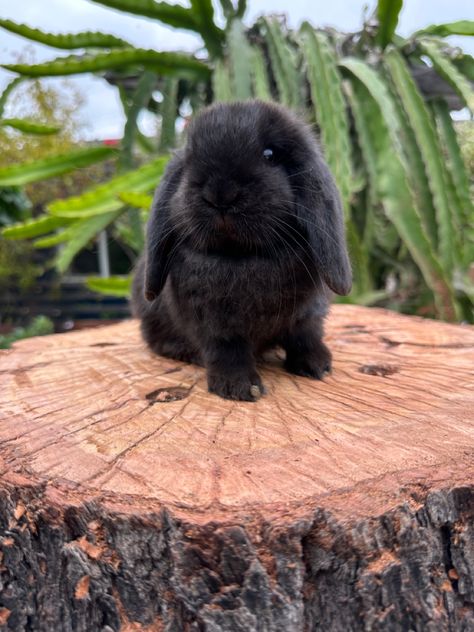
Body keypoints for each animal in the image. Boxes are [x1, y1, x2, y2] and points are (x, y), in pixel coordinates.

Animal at [131, 101, 350, 402]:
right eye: (189, 160)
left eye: (270, 154)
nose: (220, 194)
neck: (241, 257)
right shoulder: (214, 326)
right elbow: (227, 352)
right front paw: (239, 387)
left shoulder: (308, 313)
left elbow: (305, 336)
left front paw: (318, 365)